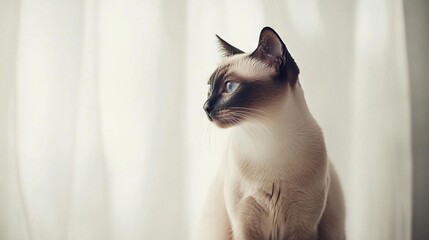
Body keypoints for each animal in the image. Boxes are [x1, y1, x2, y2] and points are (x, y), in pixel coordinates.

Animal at [196, 26, 344, 240]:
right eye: (209, 89)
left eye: (230, 87)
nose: (205, 107)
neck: (268, 140)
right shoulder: (245, 225)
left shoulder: (302, 225)